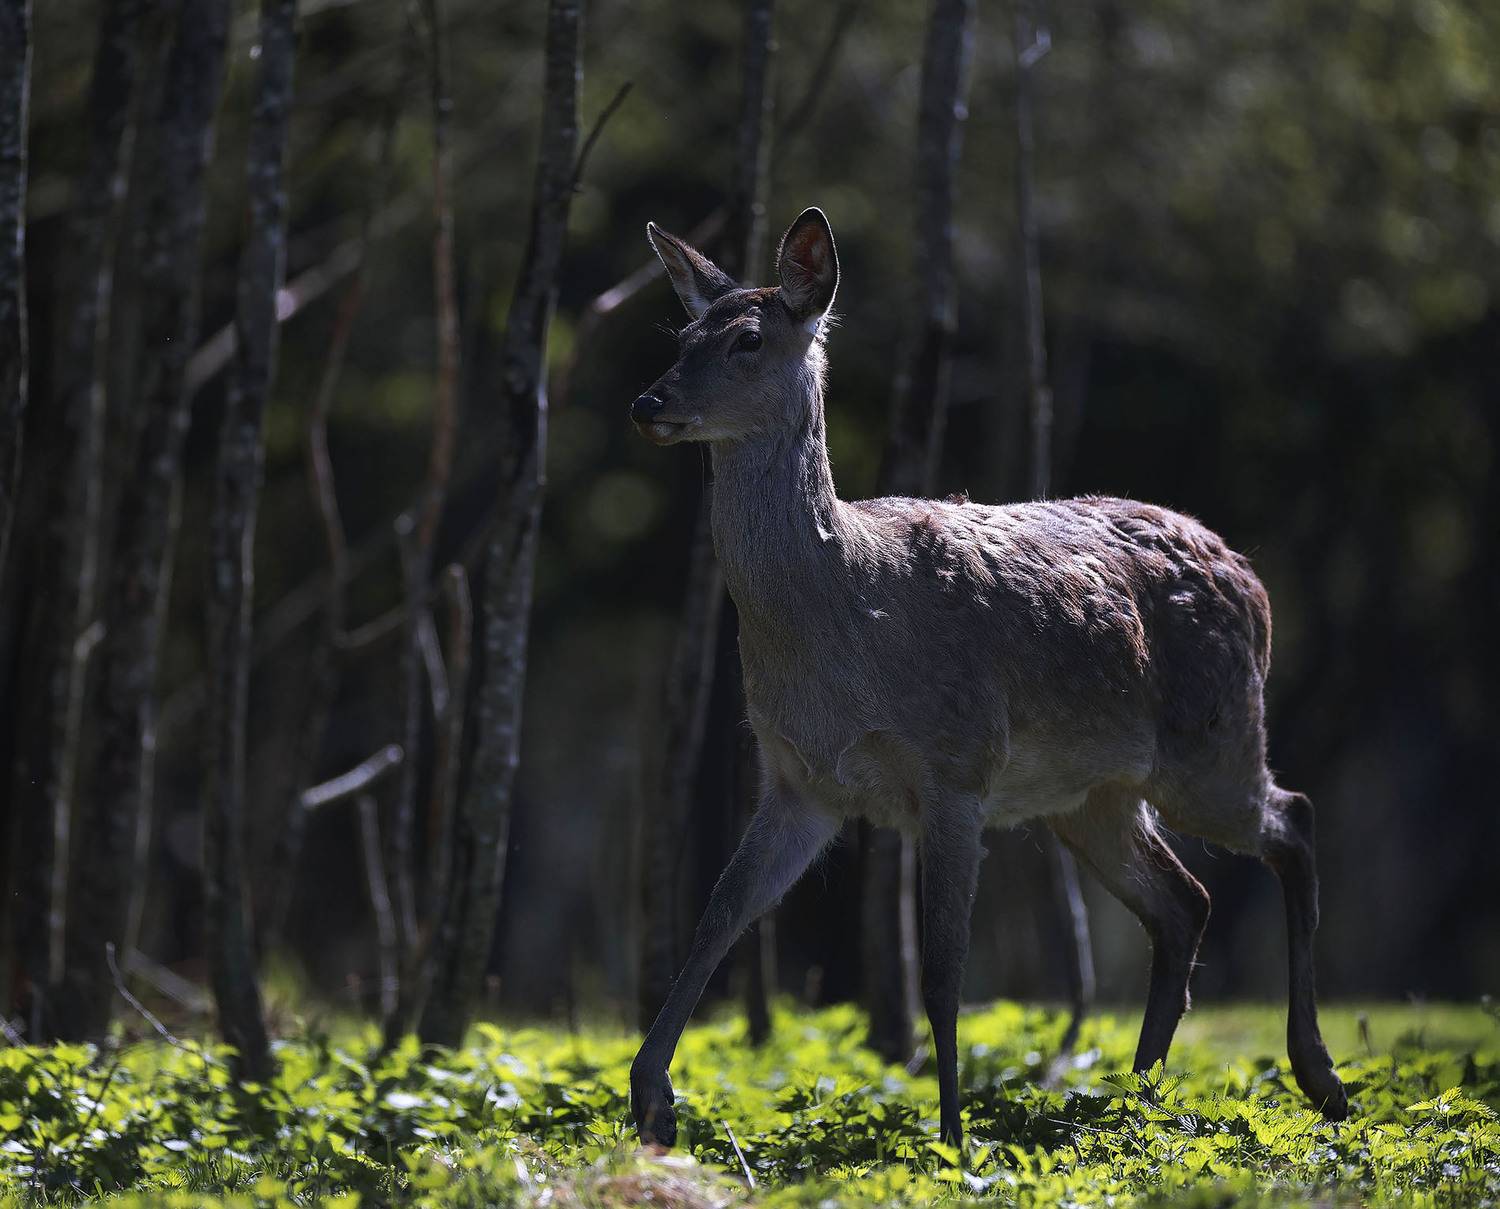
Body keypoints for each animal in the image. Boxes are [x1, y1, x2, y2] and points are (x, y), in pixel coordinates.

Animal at [627, 206, 1348, 1150]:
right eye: (681, 336)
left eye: (747, 338)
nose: (648, 403)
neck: (844, 615)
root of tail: (1253, 580)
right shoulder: (798, 778)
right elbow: (718, 915)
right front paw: (650, 1096)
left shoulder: (957, 762)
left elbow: (942, 970)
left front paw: (950, 1132)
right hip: (1093, 793)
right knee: (1184, 901)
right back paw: (1134, 1099)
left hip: (1214, 739)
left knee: (1292, 819)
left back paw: (1318, 1076)